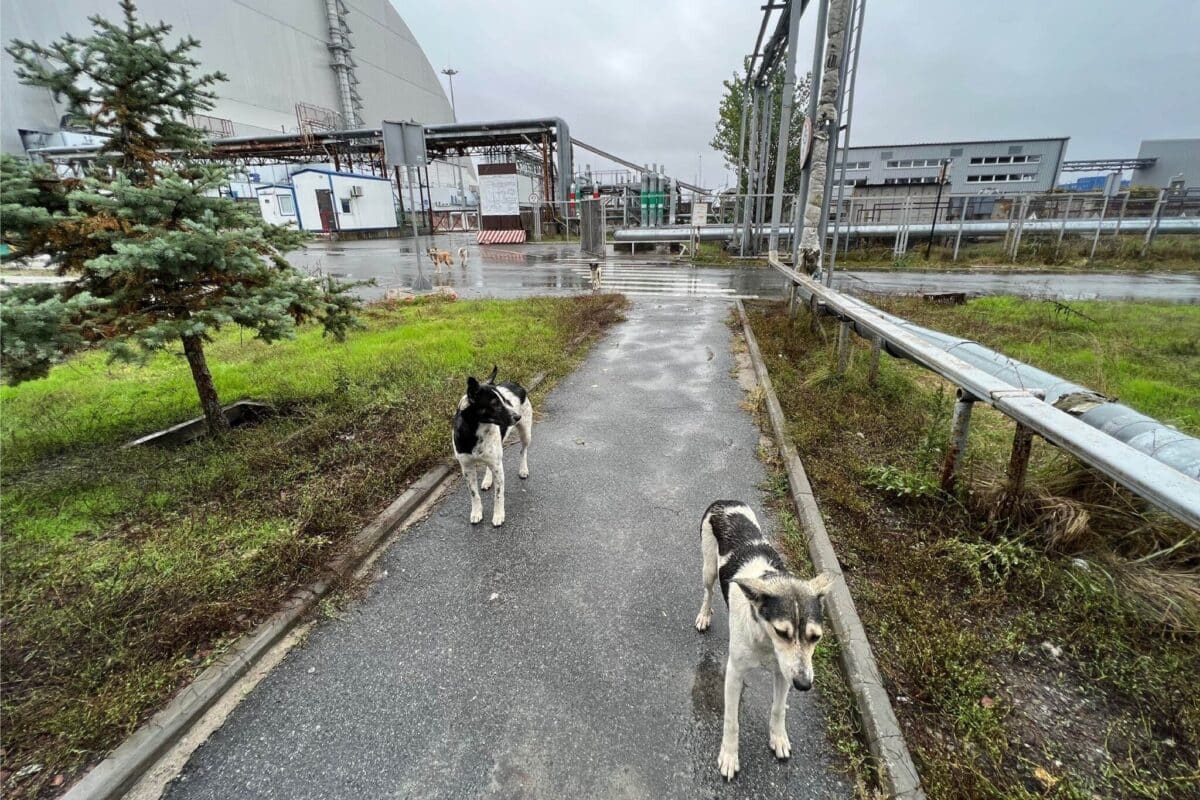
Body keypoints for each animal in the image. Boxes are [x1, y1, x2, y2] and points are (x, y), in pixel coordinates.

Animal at [451, 367, 532, 527]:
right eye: (494, 403)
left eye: (506, 401)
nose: (517, 416)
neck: (475, 431)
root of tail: (516, 384)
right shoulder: (467, 468)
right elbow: (474, 494)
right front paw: (476, 512)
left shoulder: (498, 466)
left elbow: (498, 495)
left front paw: (498, 515)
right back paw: (488, 480)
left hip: (525, 433)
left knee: (523, 450)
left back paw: (523, 469)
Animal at [696, 501, 835, 782]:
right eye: (782, 632)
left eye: (816, 637)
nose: (804, 685)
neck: (765, 639)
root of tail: (724, 501)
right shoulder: (734, 673)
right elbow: (731, 721)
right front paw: (729, 756)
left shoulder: (785, 673)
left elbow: (779, 708)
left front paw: (778, 738)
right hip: (708, 568)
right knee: (708, 591)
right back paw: (704, 614)